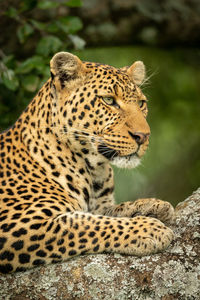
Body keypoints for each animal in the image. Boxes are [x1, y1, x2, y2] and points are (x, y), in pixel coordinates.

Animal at [0, 52, 174, 274]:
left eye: (141, 103)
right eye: (109, 100)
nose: (143, 136)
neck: (93, 170)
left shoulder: (98, 204)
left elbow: (108, 212)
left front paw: (153, 205)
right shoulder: (18, 224)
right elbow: (86, 224)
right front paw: (148, 229)